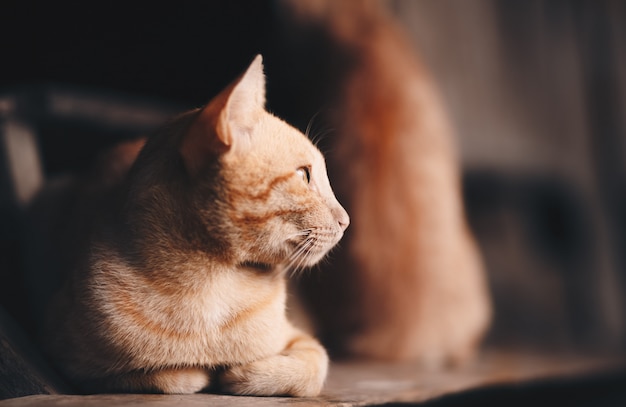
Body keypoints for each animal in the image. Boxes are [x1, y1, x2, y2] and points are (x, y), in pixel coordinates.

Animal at [42, 55, 348, 396]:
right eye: (304, 175)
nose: (346, 220)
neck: (212, 284)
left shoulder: (301, 339)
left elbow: (314, 364)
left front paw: (243, 373)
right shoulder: (69, 361)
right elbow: (170, 378)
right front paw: (199, 371)